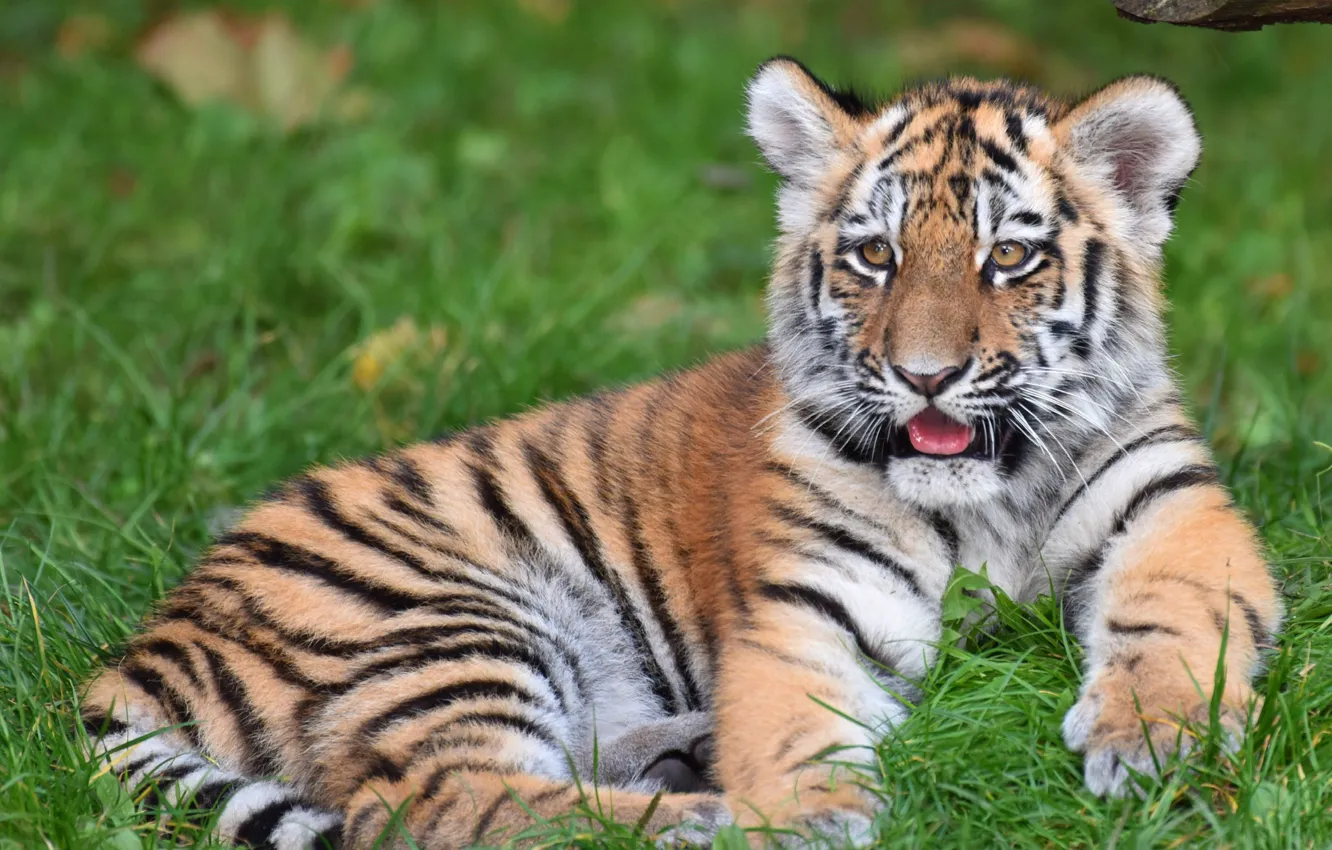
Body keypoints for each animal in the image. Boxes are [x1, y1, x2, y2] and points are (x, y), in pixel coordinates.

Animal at [81, 58, 1282, 849]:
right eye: (876, 257)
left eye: (1010, 259)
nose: (927, 375)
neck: (988, 493)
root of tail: (146, 642)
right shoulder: (806, 604)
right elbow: (795, 725)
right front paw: (807, 821)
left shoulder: (1176, 513)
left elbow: (1173, 628)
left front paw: (1150, 739)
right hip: (440, 618)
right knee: (438, 803)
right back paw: (699, 812)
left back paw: (684, 761)